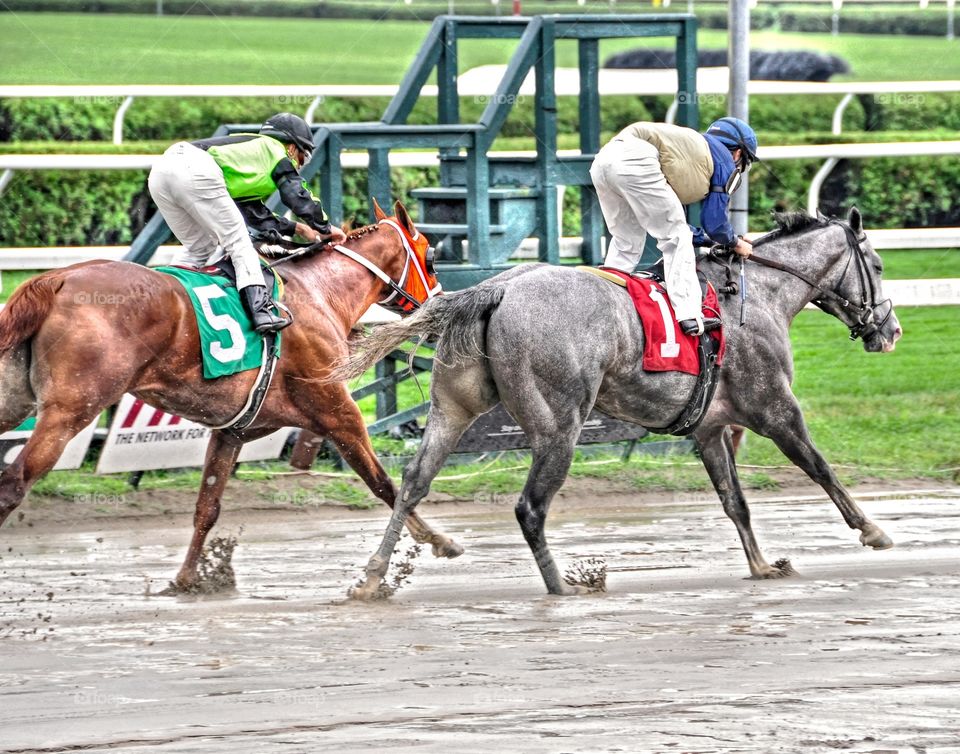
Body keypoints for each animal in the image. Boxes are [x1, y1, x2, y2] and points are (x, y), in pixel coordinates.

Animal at [0, 200, 462, 588]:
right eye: (431, 256)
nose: (441, 307)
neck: (320, 293)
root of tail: (55, 279)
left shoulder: (236, 430)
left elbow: (207, 506)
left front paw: (188, 578)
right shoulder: (338, 413)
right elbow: (385, 483)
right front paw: (439, 541)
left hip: (14, 400)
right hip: (69, 410)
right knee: (14, 482)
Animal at [344, 209, 900, 596]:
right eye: (876, 264)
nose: (891, 330)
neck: (758, 294)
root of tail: (493, 291)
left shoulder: (710, 428)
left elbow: (735, 501)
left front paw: (763, 566)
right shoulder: (775, 409)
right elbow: (820, 467)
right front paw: (873, 530)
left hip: (453, 410)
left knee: (412, 482)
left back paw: (373, 577)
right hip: (559, 427)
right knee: (530, 508)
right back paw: (563, 586)